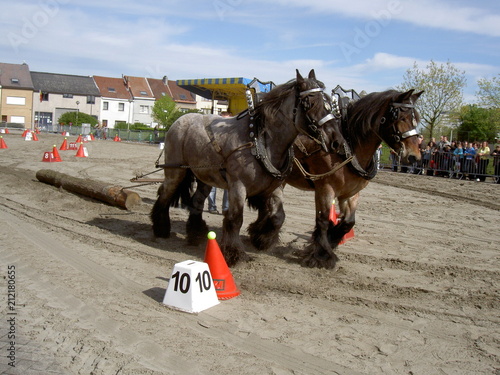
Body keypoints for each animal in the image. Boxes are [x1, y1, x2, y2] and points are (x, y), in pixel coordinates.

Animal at [149, 70, 344, 268]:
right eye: (310, 103)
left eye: (331, 104)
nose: (337, 141)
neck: (260, 141)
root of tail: (180, 119)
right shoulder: (238, 186)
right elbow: (235, 219)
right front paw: (234, 253)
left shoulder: (274, 188)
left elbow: (278, 216)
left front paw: (261, 239)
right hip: (175, 171)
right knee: (164, 194)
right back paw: (161, 229)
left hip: (205, 176)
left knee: (196, 201)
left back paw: (196, 234)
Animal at [286, 89, 422, 268]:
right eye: (401, 117)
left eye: (416, 120)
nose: (414, 156)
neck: (348, 146)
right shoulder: (325, 189)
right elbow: (323, 220)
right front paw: (320, 256)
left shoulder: (351, 193)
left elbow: (348, 222)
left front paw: (331, 239)